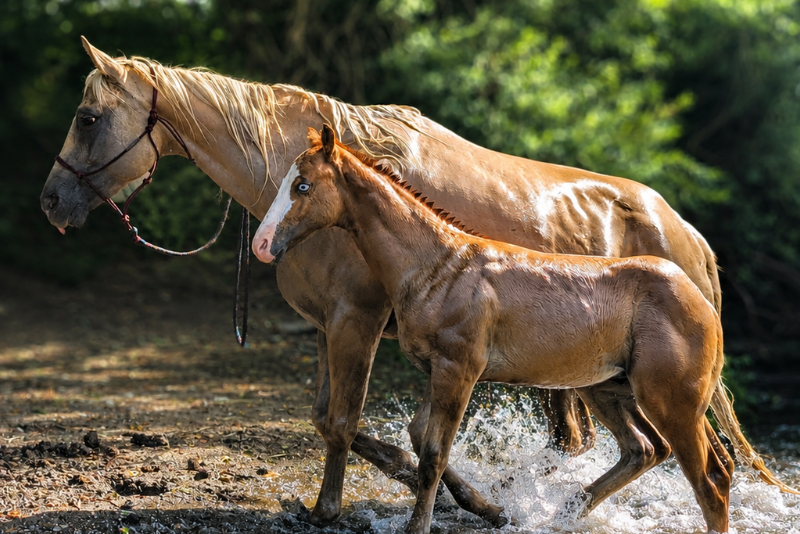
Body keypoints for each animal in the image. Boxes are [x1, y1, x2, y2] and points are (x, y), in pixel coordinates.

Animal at [42, 37, 724, 526]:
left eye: (87, 117)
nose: (51, 202)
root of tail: (688, 233)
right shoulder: (328, 325)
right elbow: (341, 422)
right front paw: (476, 500)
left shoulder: (358, 320)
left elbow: (348, 422)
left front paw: (335, 508)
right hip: (605, 382)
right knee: (650, 452)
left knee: (705, 463)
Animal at [253, 125, 797, 534]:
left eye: (302, 186)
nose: (261, 244)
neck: (438, 266)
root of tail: (701, 294)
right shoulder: (437, 369)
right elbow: (419, 436)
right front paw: (489, 508)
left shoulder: (459, 370)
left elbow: (433, 452)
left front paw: (421, 524)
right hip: (610, 389)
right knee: (647, 450)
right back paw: (562, 512)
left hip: (672, 401)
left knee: (710, 482)